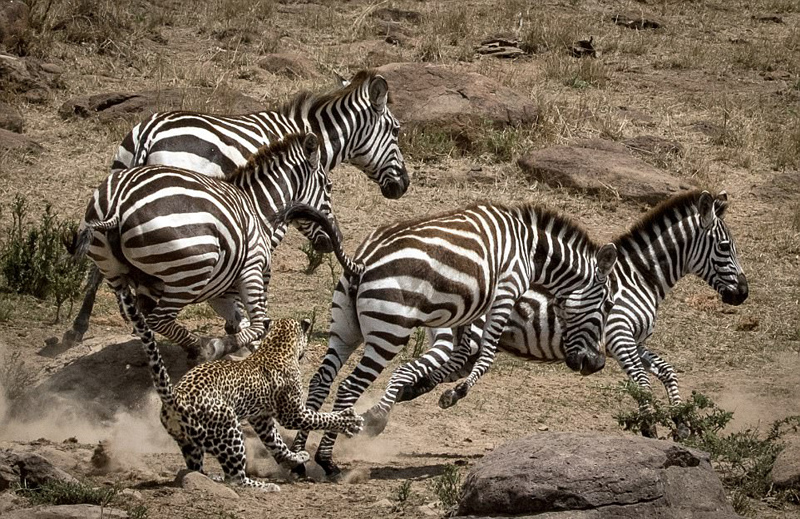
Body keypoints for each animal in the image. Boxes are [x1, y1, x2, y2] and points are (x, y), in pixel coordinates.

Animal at [69, 134, 362, 362]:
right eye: (328, 186)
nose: (333, 238)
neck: (257, 207)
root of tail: (118, 202)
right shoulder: (253, 271)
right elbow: (259, 324)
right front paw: (225, 347)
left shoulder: (220, 290)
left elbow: (241, 321)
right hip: (191, 269)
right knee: (158, 319)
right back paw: (199, 347)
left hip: (117, 273)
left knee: (145, 321)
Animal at [117, 286, 364, 494]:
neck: (276, 345)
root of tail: (175, 398)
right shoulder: (292, 413)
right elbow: (320, 418)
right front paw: (349, 420)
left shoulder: (261, 418)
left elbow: (276, 442)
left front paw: (295, 457)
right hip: (229, 429)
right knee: (235, 477)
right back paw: (263, 486)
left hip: (190, 443)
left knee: (197, 470)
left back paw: (211, 478)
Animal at [290, 201, 620, 478]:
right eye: (607, 306)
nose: (598, 364)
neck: (530, 250)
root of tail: (361, 263)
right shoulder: (506, 291)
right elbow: (485, 357)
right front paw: (454, 392)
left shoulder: (474, 306)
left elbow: (461, 352)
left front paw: (432, 385)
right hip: (389, 332)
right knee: (348, 386)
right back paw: (327, 459)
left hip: (344, 330)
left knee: (321, 381)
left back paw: (297, 457)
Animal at [368, 189, 752, 436]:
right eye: (725, 246)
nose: (743, 294)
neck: (640, 277)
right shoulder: (619, 336)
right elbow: (642, 381)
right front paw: (649, 426)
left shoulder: (634, 342)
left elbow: (666, 371)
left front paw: (682, 423)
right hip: (455, 341)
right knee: (408, 369)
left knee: (423, 374)